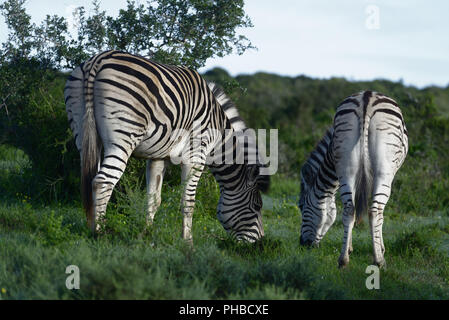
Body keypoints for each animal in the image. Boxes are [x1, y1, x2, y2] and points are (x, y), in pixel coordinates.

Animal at [63, 49, 268, 242]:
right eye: (257, 206)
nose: (261, 242)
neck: (217, 131)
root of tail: (98, 60)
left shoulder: (157, 157)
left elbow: (153, 199)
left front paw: (147, 234)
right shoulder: (196, 155)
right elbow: (188, 202)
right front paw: (188, 242)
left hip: (82, 132)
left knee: (91, 178)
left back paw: (91, 227)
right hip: (123, 138)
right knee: (102, 182)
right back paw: (99, 232)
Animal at [300, 90, 408, 268]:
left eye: (301, 207)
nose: (302, 244)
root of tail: (367, 98)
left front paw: (350, 248)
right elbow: (380, 216)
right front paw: (380, 248)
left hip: (346, 165)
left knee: (349, 209)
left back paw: (343, 260)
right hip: (383, 170)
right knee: (375, 211)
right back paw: (378, 261)